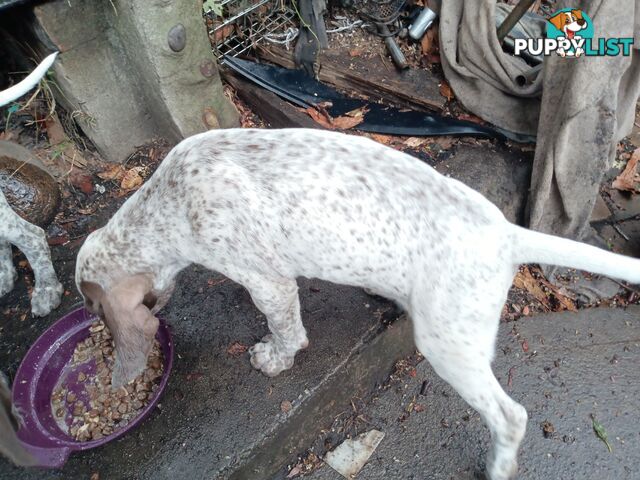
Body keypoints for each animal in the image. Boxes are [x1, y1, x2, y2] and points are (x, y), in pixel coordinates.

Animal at [76, 128, 640, 480]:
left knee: (511, 416)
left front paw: (273, 359)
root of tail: (506, 234)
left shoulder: (270, 282)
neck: (167, 204)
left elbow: (286, 331)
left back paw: (499, 466)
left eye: (96, 311)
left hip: (448, 344)